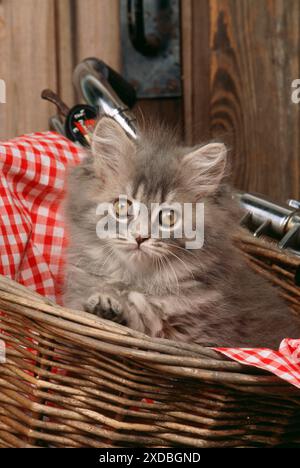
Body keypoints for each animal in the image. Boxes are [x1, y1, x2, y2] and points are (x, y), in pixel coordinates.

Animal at [63, 118, 300, 348]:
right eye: (122, 206)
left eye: (168, 217)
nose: (140, 237)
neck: (139, 283)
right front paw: (105, 305)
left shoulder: (208, 337)